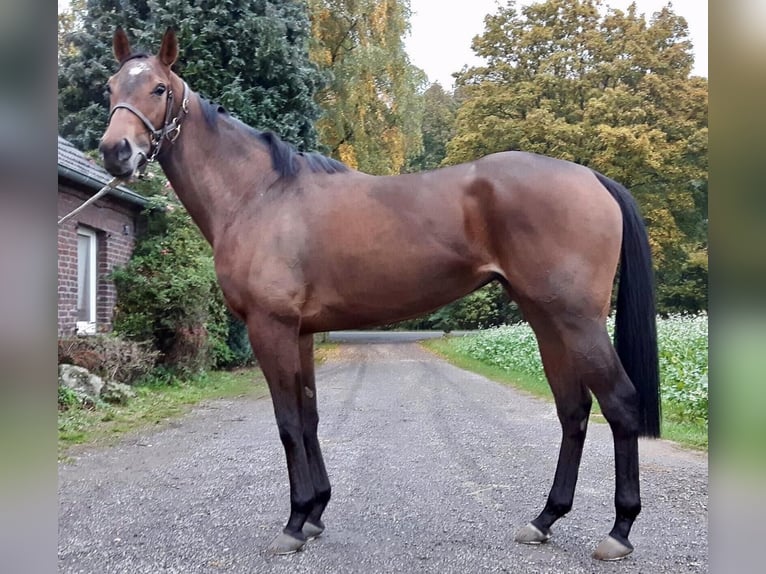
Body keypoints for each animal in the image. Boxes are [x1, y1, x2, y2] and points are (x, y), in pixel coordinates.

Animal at [98, 28, 660, 561]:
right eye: (111, 87)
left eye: (159, 88)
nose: (115, 152)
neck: (260, 195)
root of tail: (591, 177)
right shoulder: (300, 334)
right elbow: (309, 418)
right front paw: (315, 513)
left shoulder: (270, 328)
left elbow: (287, 424)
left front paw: (293, 523)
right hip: (546, 320)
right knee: (574, 411)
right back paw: (545, 519)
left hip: (578, 320)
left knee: (620, 403)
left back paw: (620, 531)